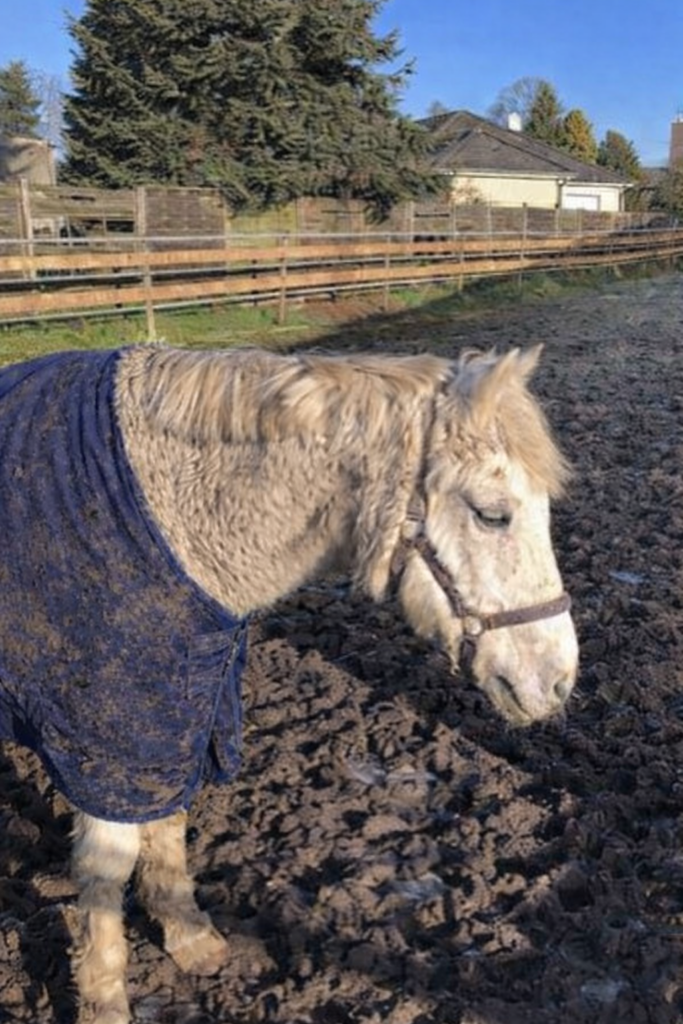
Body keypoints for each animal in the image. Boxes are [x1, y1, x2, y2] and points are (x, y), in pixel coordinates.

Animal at [0, 341, 578, 1024]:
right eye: (493, 515)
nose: (559, 680)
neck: (171, 523)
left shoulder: (182, 711)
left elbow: (168, 825)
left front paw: (188, 936)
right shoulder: (110, 736)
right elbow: (106, 866)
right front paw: (105, 996)